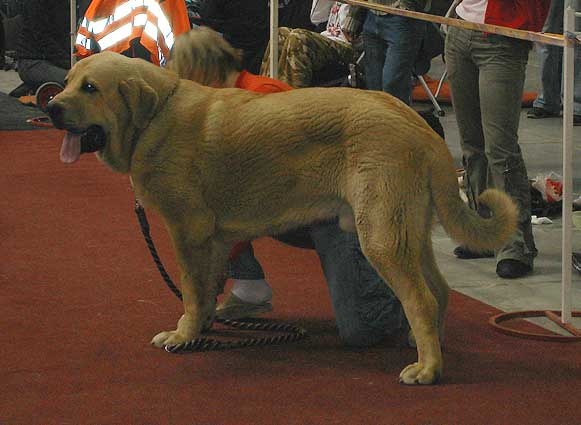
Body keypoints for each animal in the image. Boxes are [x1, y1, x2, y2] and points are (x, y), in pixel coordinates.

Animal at [46, 50, 516, 384]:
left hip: (380, 235)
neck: (155, 115)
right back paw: (424, 347)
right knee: (439, 291)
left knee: (420, 298)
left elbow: (190, 291)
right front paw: (204, 327)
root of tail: (415, 122)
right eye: (67, 83)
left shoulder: (188, 231)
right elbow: (207, 289)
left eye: (90, 87)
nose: (50, 106)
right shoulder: (214, 238)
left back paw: (427, 369)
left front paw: (183, 336)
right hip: (407, 230)